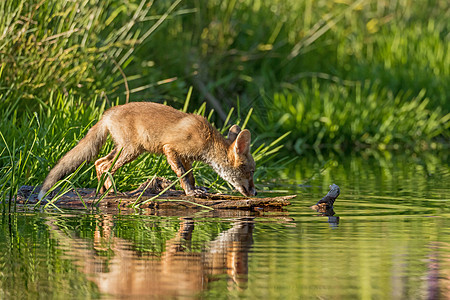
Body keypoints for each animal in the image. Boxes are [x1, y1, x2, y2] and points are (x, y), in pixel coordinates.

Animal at [37, 101, 256, 202]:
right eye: (251, 171)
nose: (255, 192)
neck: (207, 139)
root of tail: (108, 113)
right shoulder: (171, 149)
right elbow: (181, 174)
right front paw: (190, 192)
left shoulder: (186, 157)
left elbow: (190, 175)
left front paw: (196, 189)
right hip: (131, 150)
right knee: (106, 167)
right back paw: (111, 191)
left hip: (123, 149)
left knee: (99, 163)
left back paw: (103, 191)